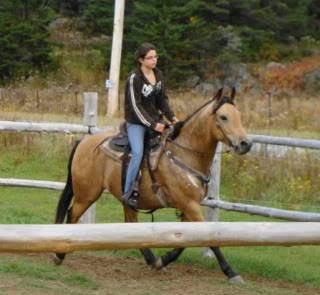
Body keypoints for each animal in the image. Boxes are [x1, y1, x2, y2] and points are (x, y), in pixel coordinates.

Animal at [52, 88, 252, 284]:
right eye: (223, 117)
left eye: (239, 115)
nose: (245, 144)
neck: (183, 154)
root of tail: (83, 142)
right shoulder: (189, 205)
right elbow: (210, 237)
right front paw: (231, 273)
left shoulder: (189, 207)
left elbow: (184, 240)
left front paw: (162, 260)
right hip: (87, 194)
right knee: (72, 214)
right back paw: (59, 255)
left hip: (125, 200)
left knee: (131, 224)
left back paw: (151, 259)